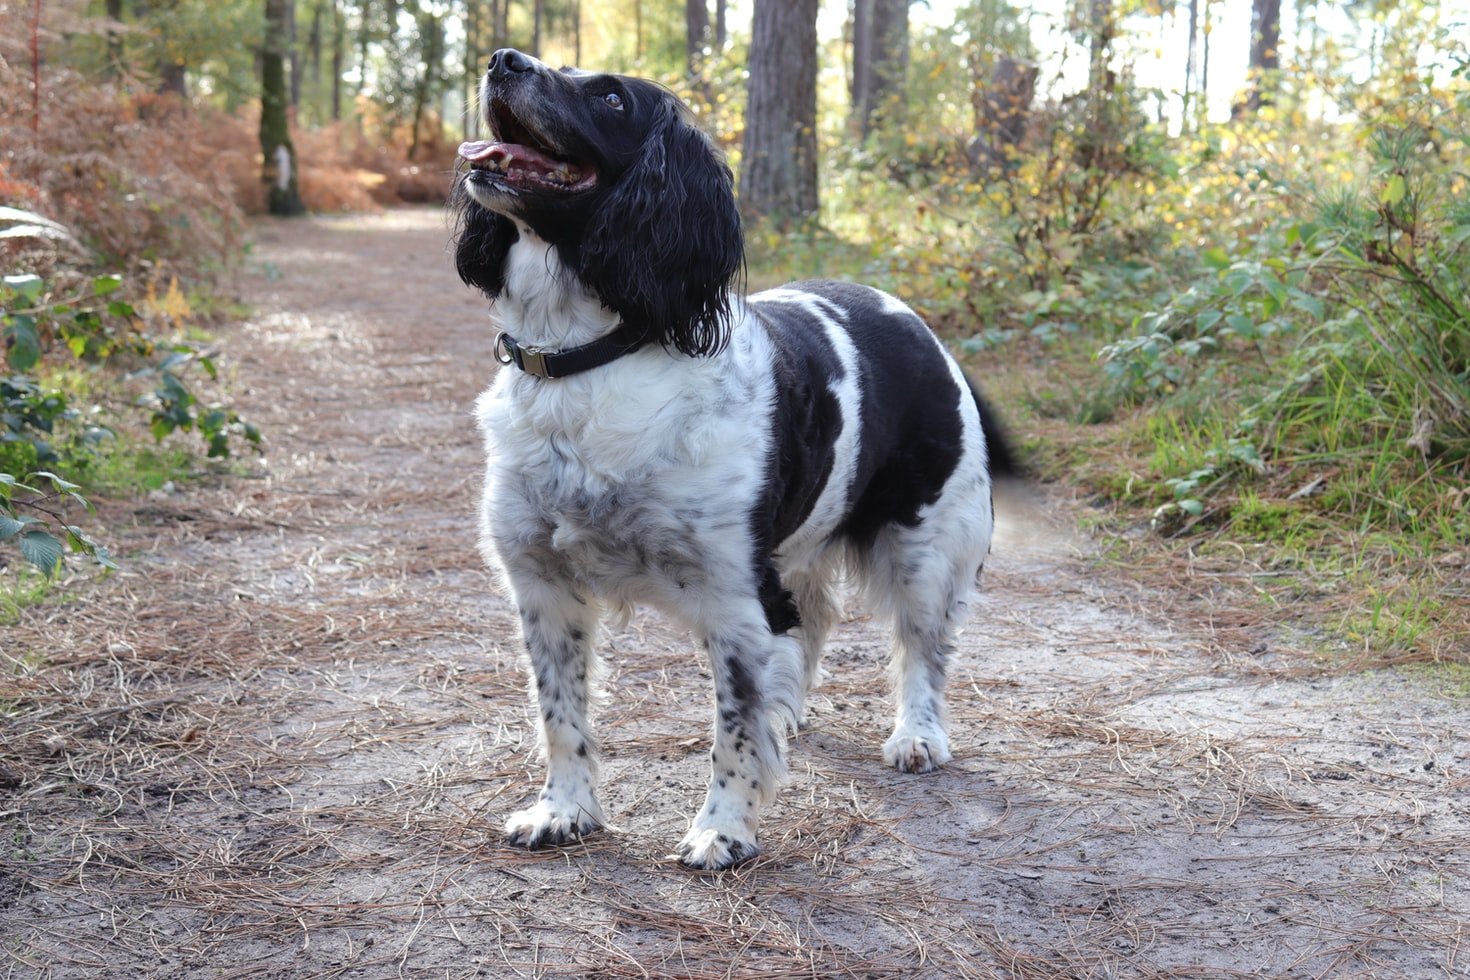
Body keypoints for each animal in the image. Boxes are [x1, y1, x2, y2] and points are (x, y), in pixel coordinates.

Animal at [452, 49, 1017, 869]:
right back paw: (800, 711)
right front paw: (565, 811)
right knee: (816, 618)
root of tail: (913, 319)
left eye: (612, 97)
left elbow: (736, 732)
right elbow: (561, 715)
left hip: (927, 548)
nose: (502, 59)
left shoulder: (735, 599)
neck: (589, 357)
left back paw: (918, 734)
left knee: (924, 649)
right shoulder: (544, 587)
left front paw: (722, 830)